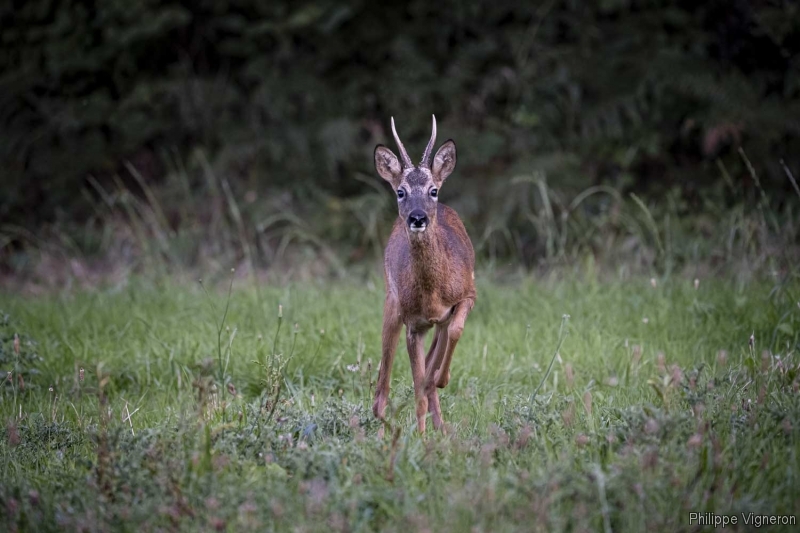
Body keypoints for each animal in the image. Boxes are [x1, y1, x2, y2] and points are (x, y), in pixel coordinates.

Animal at [370, 114, 476, 430]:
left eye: (433, 190)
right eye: (400, 191)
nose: (418, 217)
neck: (433, 294)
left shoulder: (468, 293)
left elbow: (455, 330)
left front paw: (442, 379)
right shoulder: (413, 324)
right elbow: (418, 389)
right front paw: (421, 435)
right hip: (392, 304)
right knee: (380, 391)